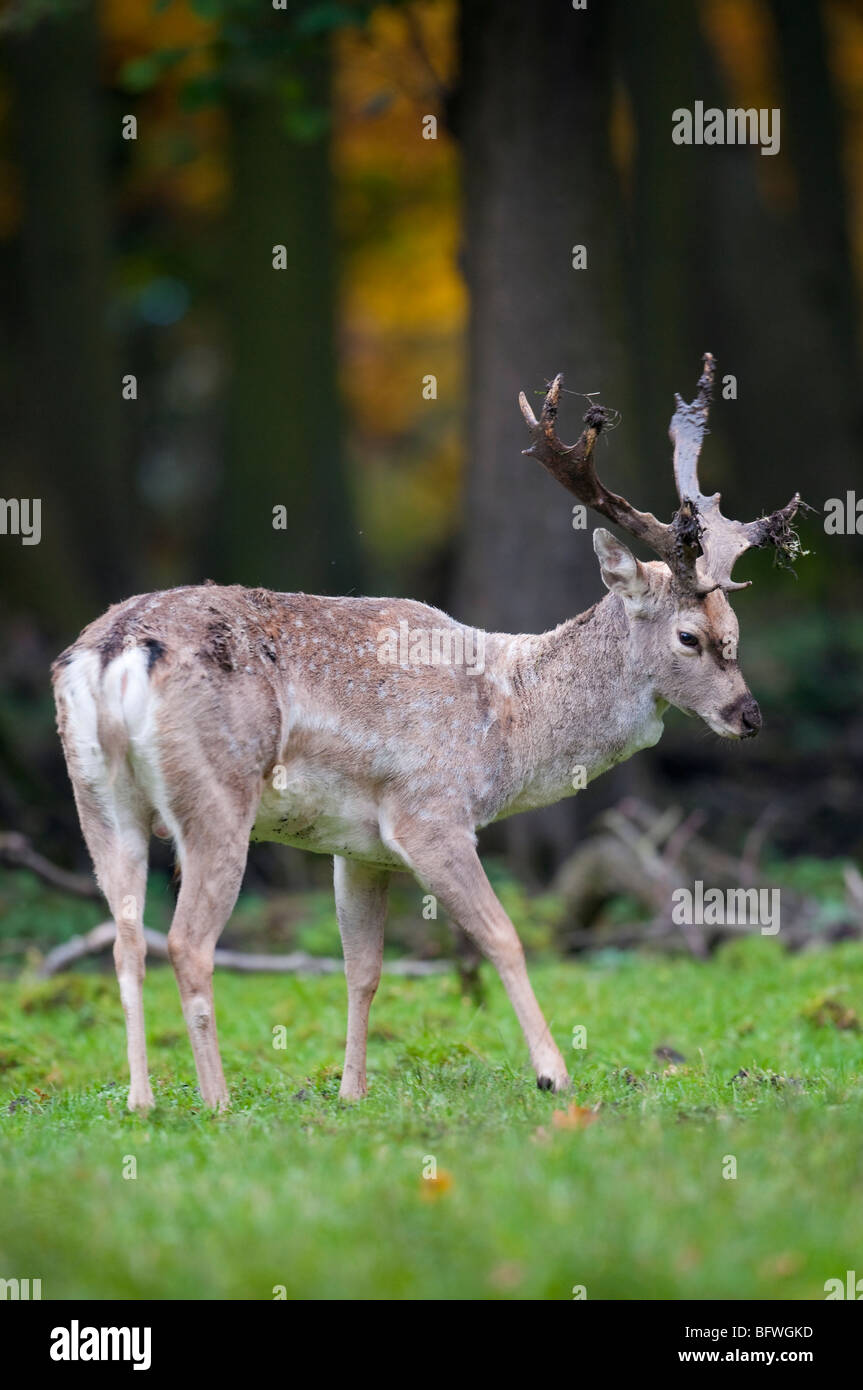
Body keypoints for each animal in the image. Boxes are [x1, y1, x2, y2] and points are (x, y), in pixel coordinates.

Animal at [52, 355, 800, 1106]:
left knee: (125, 936)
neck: (510, 720)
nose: (749, 717)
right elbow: (503, 936)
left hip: (98, 797)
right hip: (217, 793)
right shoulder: (429, 813)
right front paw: (552, 1074)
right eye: (688, 636)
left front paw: (351, 1093)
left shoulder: (358, 848)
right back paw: (217, 1101)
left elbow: (363, 968)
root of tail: (112, 651)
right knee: (185, 942)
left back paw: (142, 1101)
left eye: (734, 629)